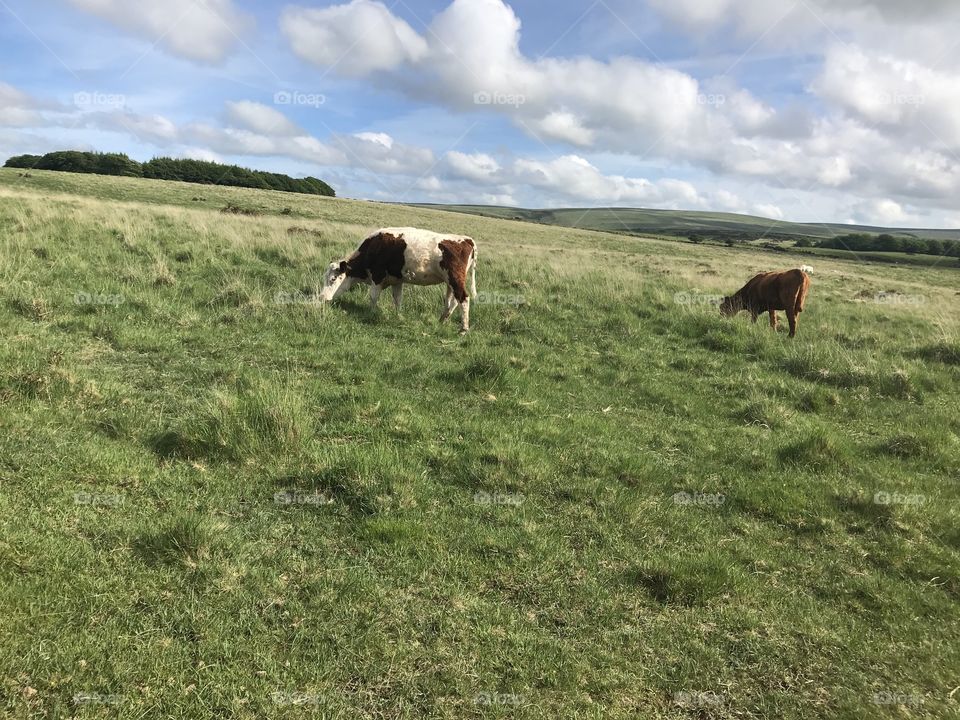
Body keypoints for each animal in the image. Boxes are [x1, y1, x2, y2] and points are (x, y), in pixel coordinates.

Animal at [319, 227, 478, 332]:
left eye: (333, 279)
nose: (322, 297)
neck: (372, 248)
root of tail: (467, 240)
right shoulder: (397, 281)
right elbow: (397, 299)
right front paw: (398, 316)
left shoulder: (377, 277)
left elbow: (373, 297)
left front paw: (371, 313)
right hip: (449, 282)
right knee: (451, 301)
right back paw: (442, 321)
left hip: (455, 279)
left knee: (463, 298)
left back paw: (463, 329)